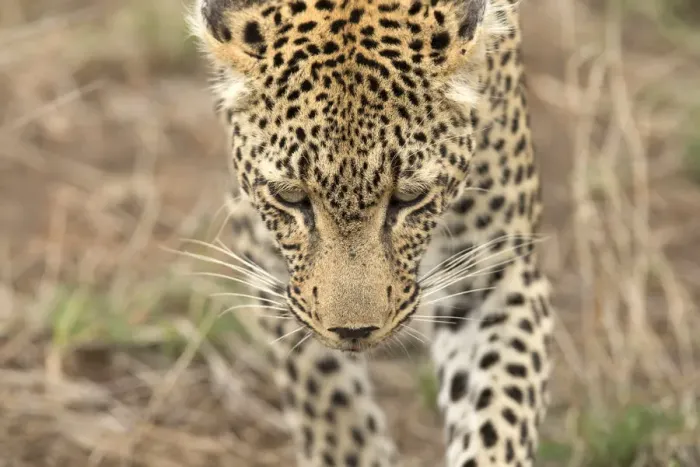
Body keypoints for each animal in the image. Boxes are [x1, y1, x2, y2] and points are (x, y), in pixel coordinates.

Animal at [190, 0, 554, 465]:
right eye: (291, 198)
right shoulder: (268, 262)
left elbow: (498, 415)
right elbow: (327, 398)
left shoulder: (495, 271)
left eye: (409, 198)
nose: (353, 331)